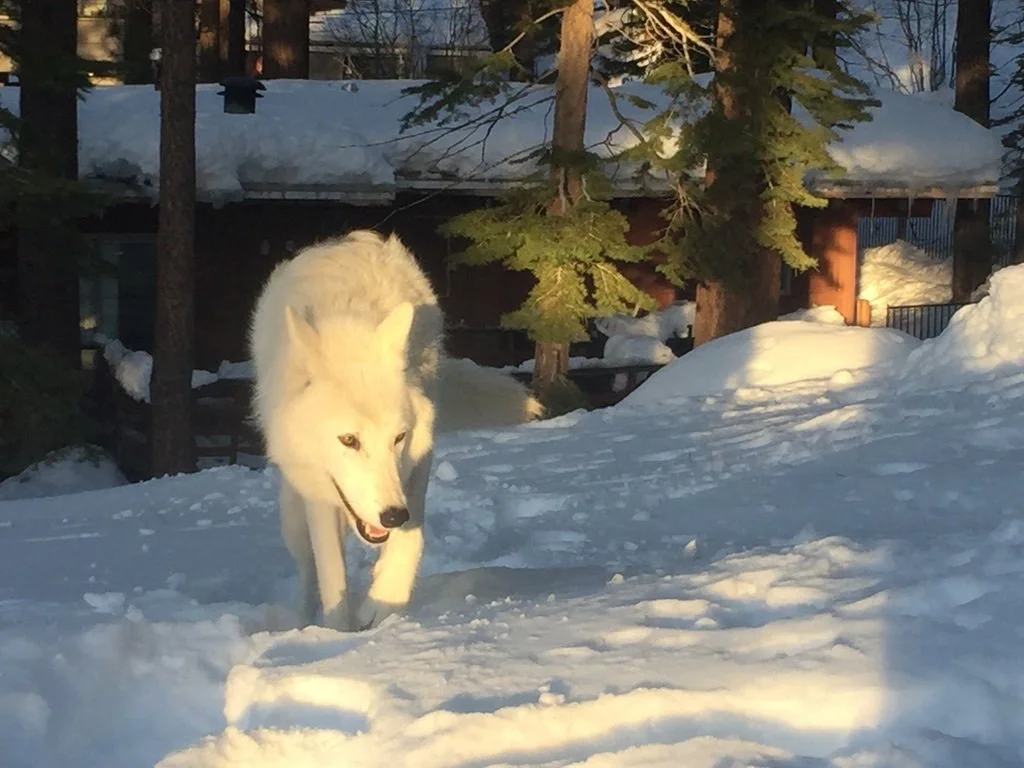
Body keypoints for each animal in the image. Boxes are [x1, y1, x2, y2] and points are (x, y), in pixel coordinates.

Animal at [249, 230, 542, 631]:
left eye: (398, 438)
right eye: (349, 440)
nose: (391, 516)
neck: (350, 328)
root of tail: (340, 241)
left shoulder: (418, 462)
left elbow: (411, 538)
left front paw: (383, 601)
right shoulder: (321, 497)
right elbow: (331, 574)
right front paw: (338, 632)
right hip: (293, 513)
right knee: (307, 571)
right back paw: (303, 619)